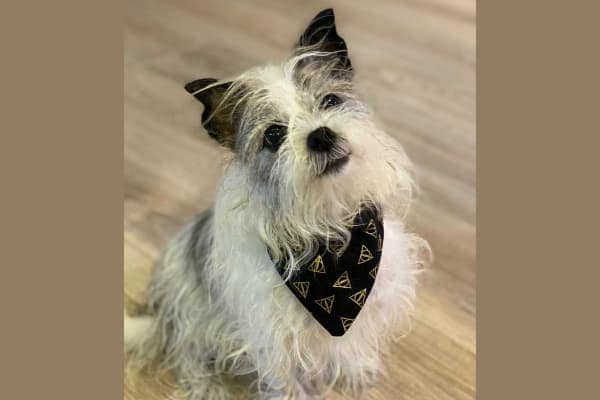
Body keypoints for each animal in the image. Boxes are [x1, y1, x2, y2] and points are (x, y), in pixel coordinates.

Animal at [125, 7, 426, 400]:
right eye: (273, 135)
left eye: (330, 101)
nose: (321, 135)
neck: (331, 239)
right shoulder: (272, 340)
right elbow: (286, 382)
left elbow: (354, 340)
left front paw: (356, 367)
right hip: (190, 312)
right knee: (186, 353)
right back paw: (207, 386)